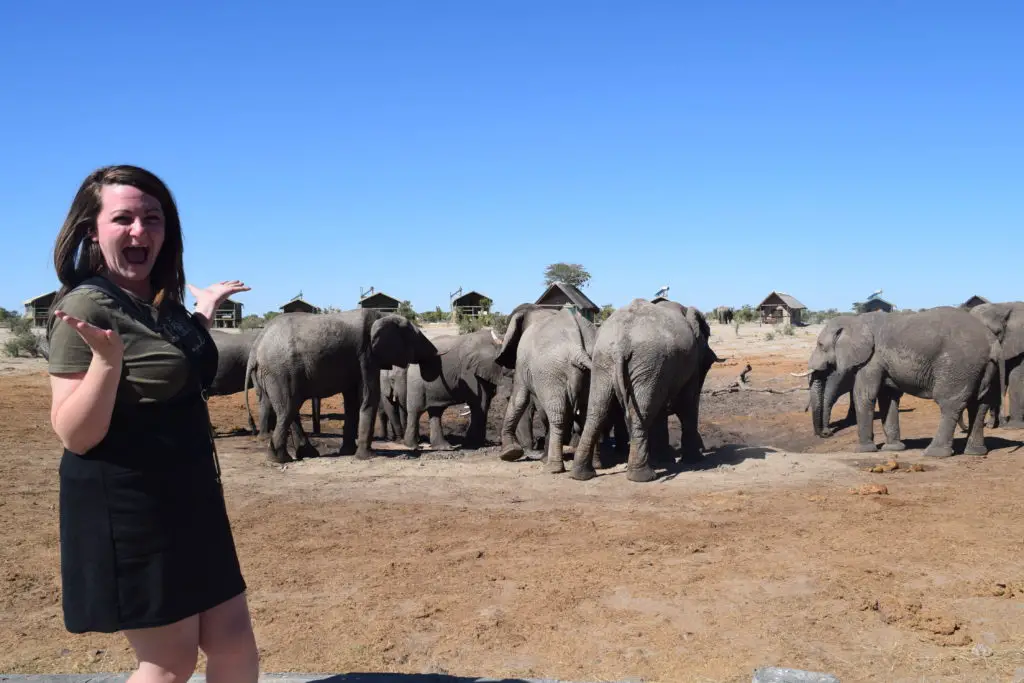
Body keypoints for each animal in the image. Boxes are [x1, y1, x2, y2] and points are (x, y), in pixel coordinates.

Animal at [248, 311, 444, 464]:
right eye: (416, 336)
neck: (382, 315)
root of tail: (256, 348)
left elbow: (352, 402)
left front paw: (348, 452)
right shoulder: (366, 354)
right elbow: (369, 397)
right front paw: (368, 456)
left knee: (289, 410)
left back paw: (303, 455)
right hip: (281, 372)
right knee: (288, 408)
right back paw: (280, 459)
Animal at [491, 303, 598, 471]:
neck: (539, 310)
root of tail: (578, 350)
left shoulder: (523, 360)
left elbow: (519, 398)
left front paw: (509, 453)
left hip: (551, 372)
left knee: (557, 414)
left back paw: (552, 467)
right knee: (591, 413)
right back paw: (595, 464)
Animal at [569, 296, 720, 481]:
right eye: (708, 364)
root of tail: (621, 343)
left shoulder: (663, 371)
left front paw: (664, 459)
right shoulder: (686, 366)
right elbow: (687, 405)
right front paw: (694, 461)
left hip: (604, 360)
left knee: (597, 411)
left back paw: (581, 474)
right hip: (648, 360)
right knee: (639, 413)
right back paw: (643, 476)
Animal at [798, 307, 999, 456]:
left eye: (820, 345)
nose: (827, 433)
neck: (855, 321)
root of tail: (991, 343)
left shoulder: (872, 358)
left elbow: (865, 395)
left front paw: (863, 451)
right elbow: (887, 397)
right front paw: (892, 449)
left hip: (958, 366)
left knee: (949, 404)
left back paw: (933, 453)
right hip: (984, 367)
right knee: (979, 404)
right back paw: (975, 452)